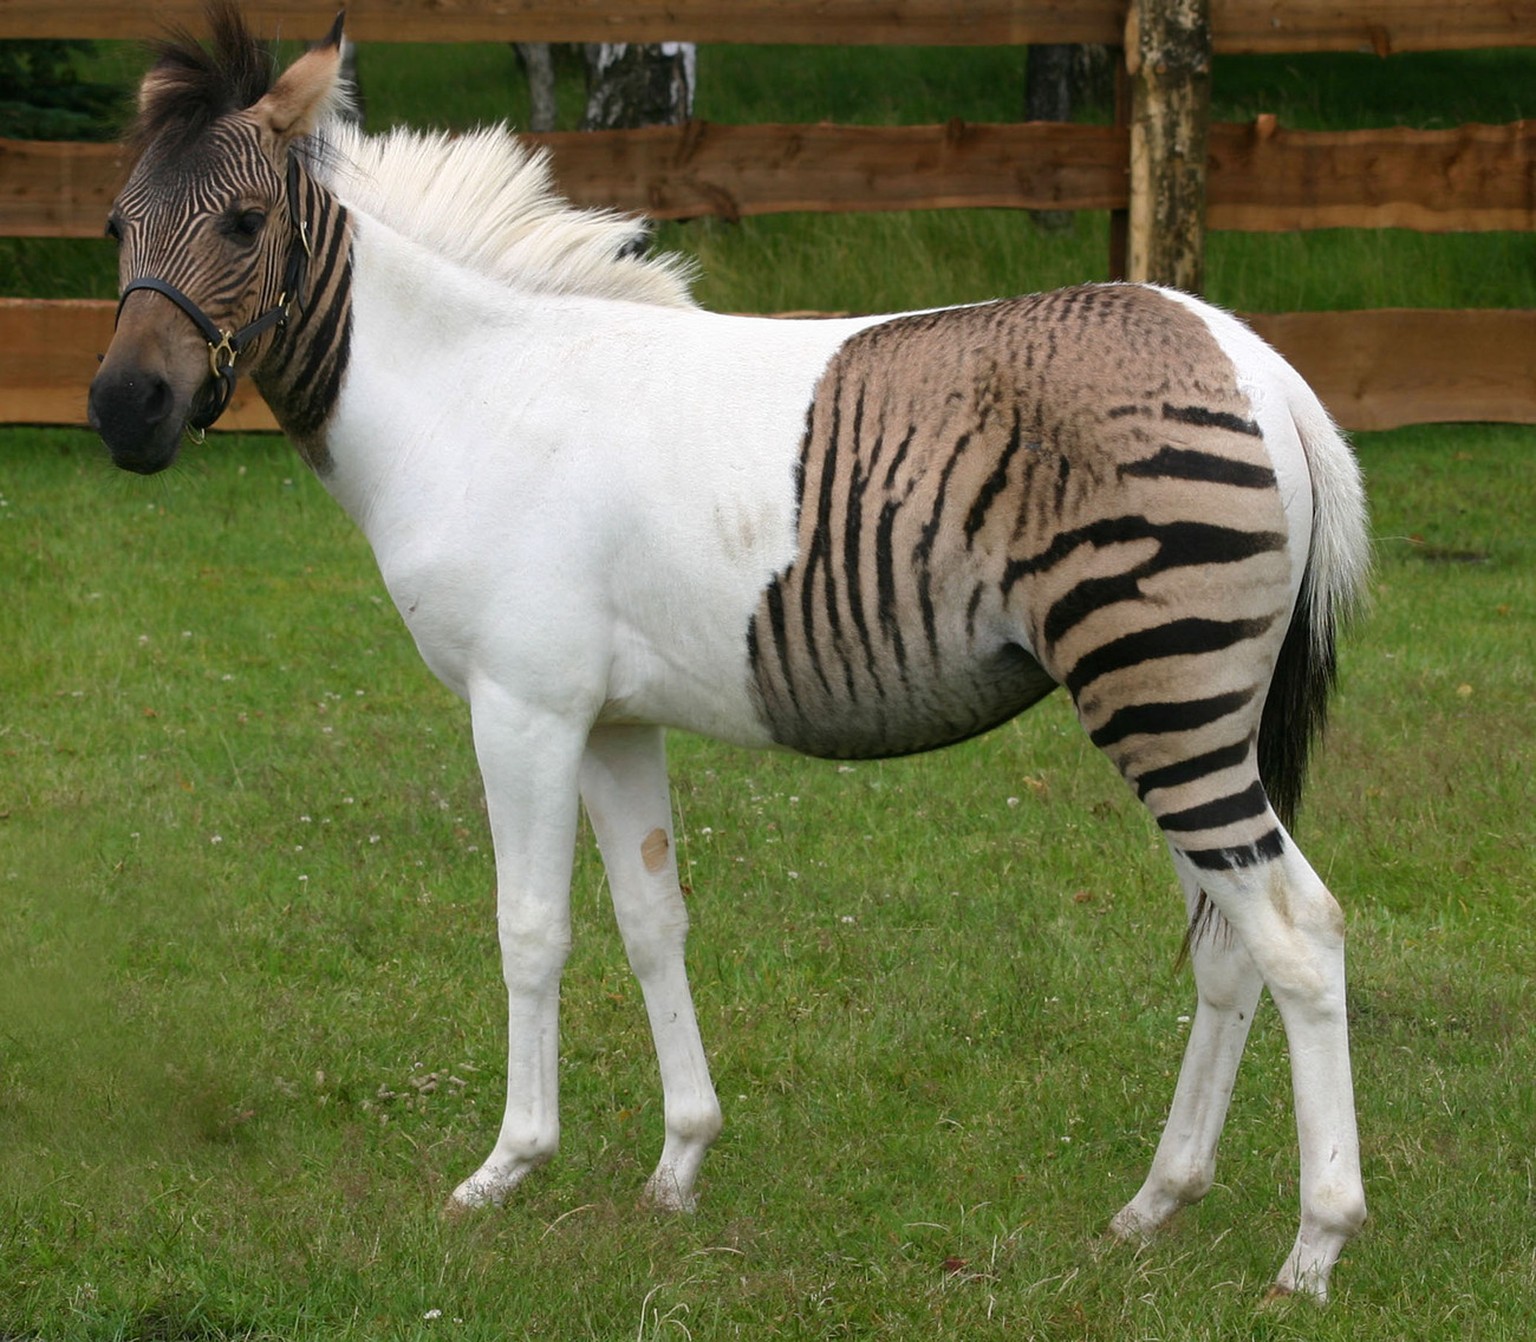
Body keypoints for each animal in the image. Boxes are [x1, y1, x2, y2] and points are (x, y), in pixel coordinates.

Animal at [89, 0, 1376, 1295]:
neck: (469, 397)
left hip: (1164, 694)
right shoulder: (611, 719)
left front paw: (506, 1169)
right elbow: (653, 922)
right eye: (112, 224)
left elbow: (530, 931)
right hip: (1188, 708)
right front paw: (679, 1166)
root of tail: (1253, 361)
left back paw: (1314, 1246)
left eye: (245, 223)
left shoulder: (523, 705)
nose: (121, 412)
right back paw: (1155, 1204)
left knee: (1300, 935)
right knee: (1231, 948)